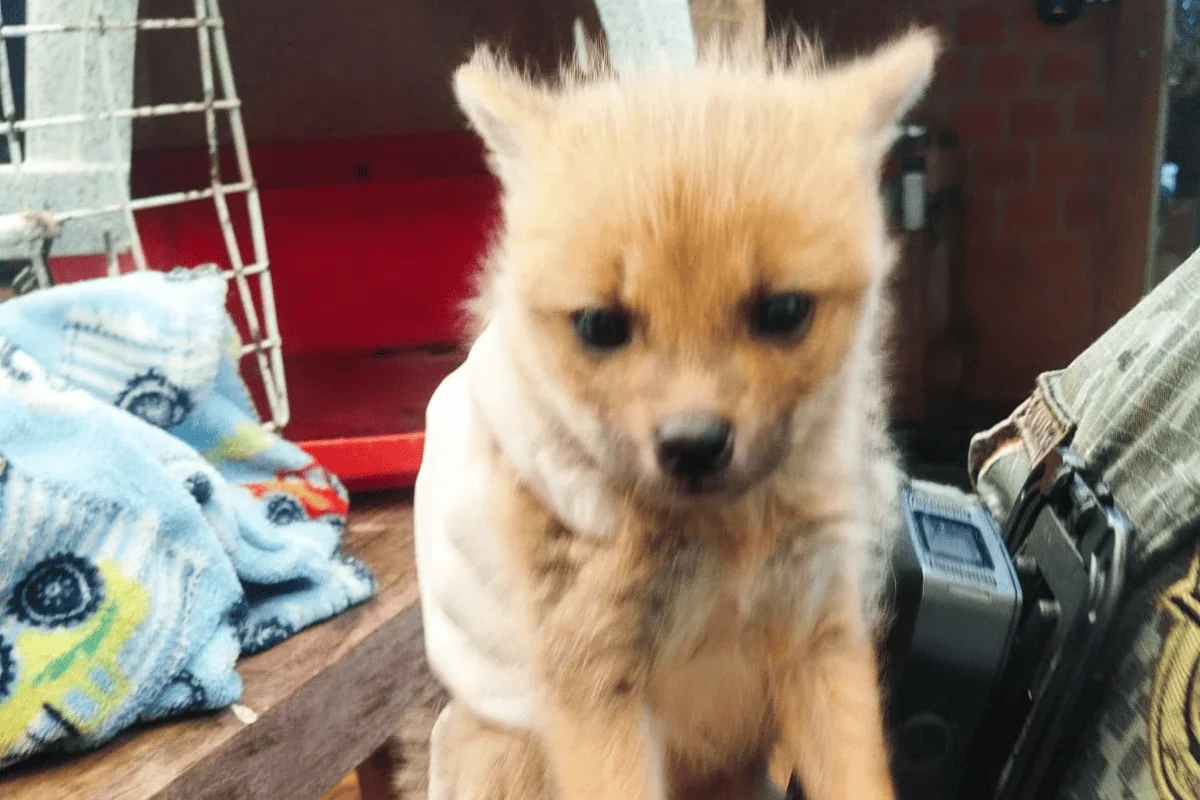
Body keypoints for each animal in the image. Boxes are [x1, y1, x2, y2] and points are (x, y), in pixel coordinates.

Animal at [411, 26, 939, 800]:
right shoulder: (593, 678)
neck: (726, 548)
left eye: (783, 311)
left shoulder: (819, 629)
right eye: (600, 325)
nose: (693, 445)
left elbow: (857, 777)